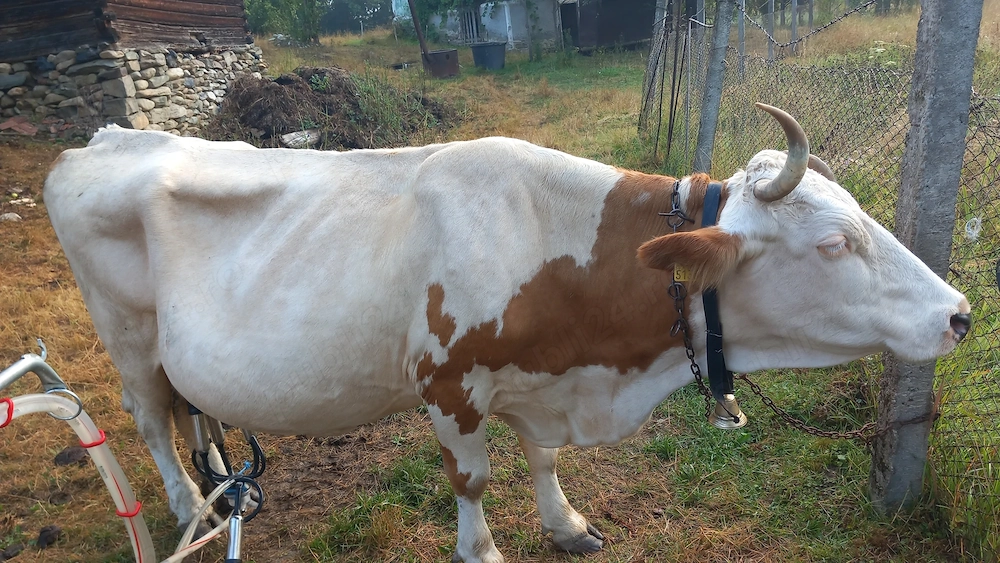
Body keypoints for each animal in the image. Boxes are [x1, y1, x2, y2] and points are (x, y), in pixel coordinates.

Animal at [43, 104, 970, 563]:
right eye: (836, 242)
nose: (959, 313)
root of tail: (101, 139)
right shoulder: (448, 383)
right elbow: (476, 479)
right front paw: (483, 551)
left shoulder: (541, 376)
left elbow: (545, 457)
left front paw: (566, 524)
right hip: (127, 335)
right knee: (148, 419)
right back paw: (187, 505)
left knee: (190, 410)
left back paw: (227, 487)